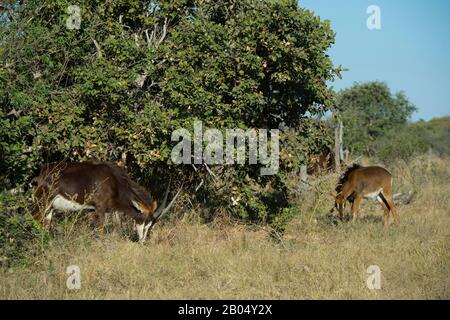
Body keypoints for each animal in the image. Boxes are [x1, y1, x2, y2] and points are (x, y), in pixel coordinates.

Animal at [29, 161, 182, 244]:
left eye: (151, 226)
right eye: (143, 221)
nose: (142, 241)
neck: (114, 181)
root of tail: (40, 174)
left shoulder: (104, 211)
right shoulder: (100, 209)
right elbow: (101, 230)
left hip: (50, 209)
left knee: (45, 224)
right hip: (42, 203)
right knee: (35, 219)